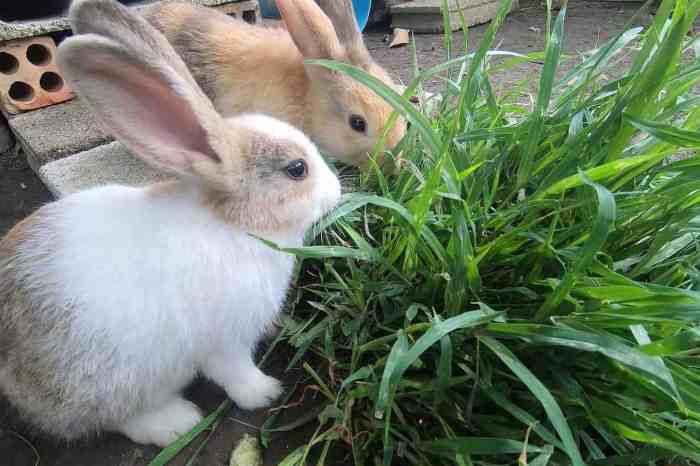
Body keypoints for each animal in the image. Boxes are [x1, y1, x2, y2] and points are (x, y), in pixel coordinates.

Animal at [0, 0, 340, 448]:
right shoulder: (226, 339)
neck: (235, 222)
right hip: (115, 382)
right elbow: (235, 371)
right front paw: (266, 392)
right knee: (119, 418)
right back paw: (177, 421)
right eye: (297, 169)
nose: (337, 191)